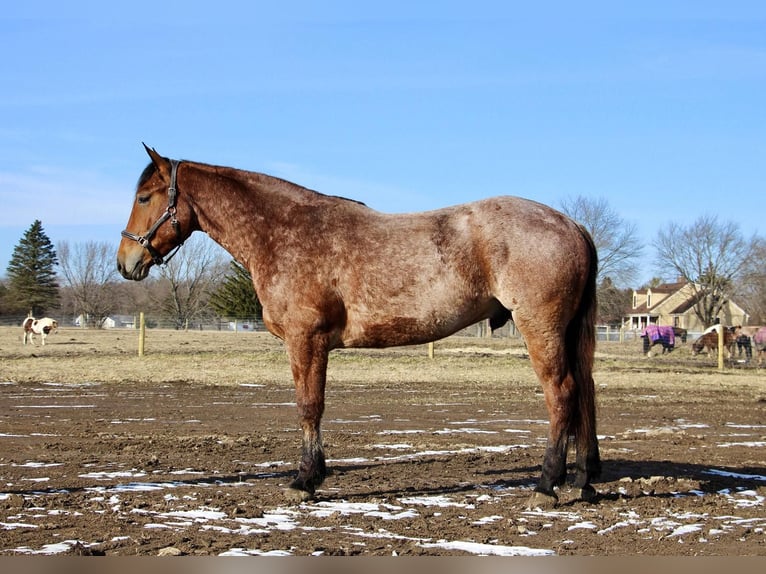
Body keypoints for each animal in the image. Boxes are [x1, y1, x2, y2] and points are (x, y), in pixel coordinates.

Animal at [117, 146, 604, 510]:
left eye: (144, 198)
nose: (126, 262)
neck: (283, 232)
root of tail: (571, 223)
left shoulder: (306, 341)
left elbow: (309, 407)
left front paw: (305, 480)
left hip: (540, 328)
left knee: (562, 393)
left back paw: (546, 485)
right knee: (584, 392)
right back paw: (582, 479)